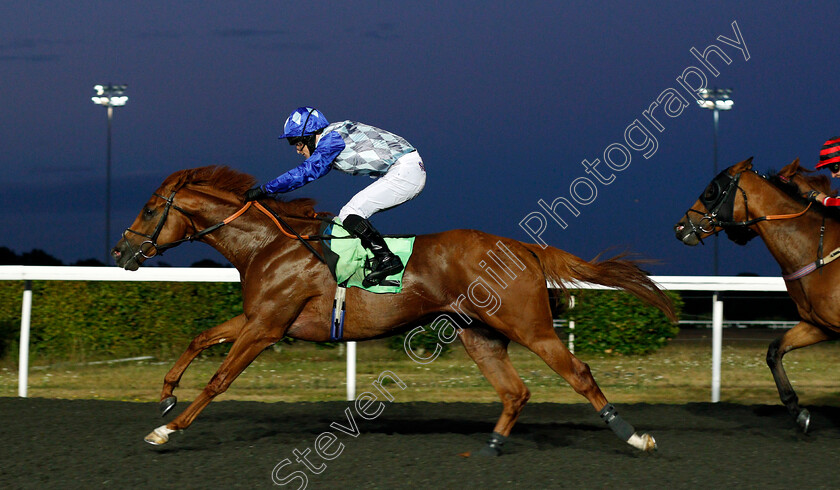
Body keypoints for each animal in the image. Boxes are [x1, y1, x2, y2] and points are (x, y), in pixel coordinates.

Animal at [113, 166, 676, 456]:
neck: (268, 244)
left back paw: (635, 436)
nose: (120, 251)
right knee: (515, 390)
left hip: (529, 325)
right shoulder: (258, 318)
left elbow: (220, 379)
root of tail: (522, 247)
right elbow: (200, 338)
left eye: (148, 209)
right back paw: (492, 445)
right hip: (479, 333)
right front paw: (165, 396)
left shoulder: (268, 326)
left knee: (578, 372)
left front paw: (168, 429)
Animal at [676, 159, 840, 430]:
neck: (820, 253)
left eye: (711, 190)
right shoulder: (818, 324)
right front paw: (798, 411)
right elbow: (774, 351)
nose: (680, 227)